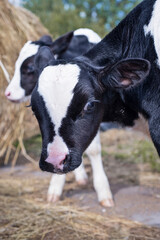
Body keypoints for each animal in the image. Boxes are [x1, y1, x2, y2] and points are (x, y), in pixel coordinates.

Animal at [5, 28, 113, 206]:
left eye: (30, 67)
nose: (8, 93)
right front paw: (56, 186)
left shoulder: (93, 112)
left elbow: (94, 150)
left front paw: (103, 191)